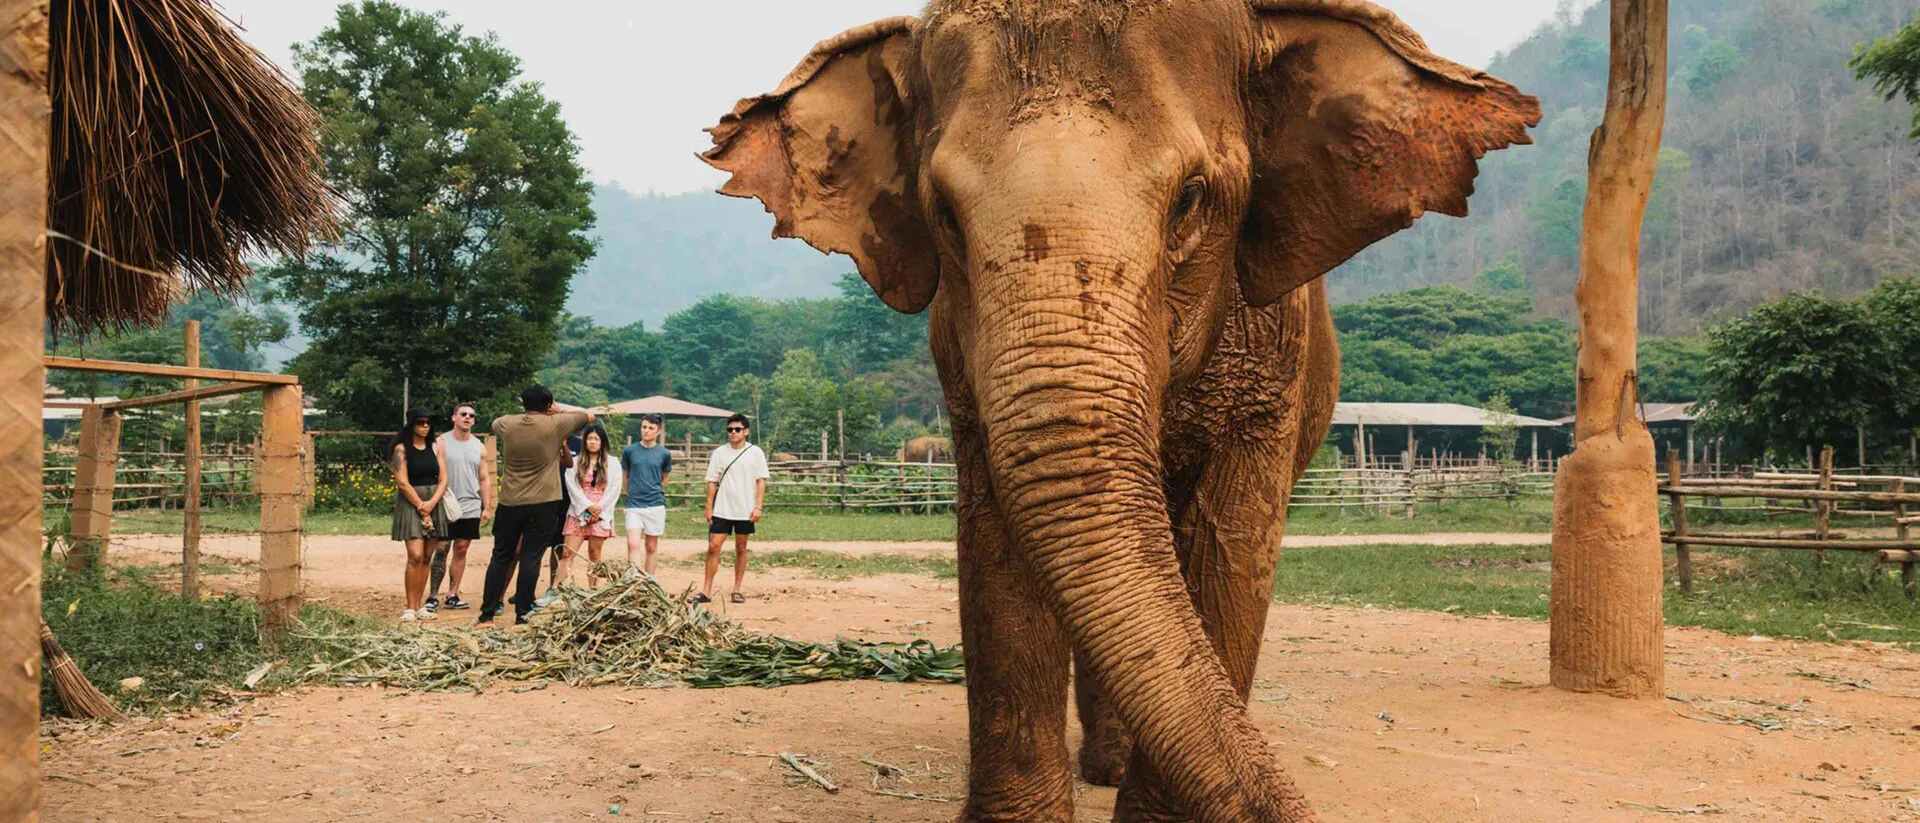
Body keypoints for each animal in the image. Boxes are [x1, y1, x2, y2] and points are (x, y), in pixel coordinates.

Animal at [703, 1, 1538, 820]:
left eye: (1192, 197)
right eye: (943, 211)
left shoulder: (1274, 356)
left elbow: (1229, 545)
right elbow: (997, 545)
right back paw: (1103, 763)